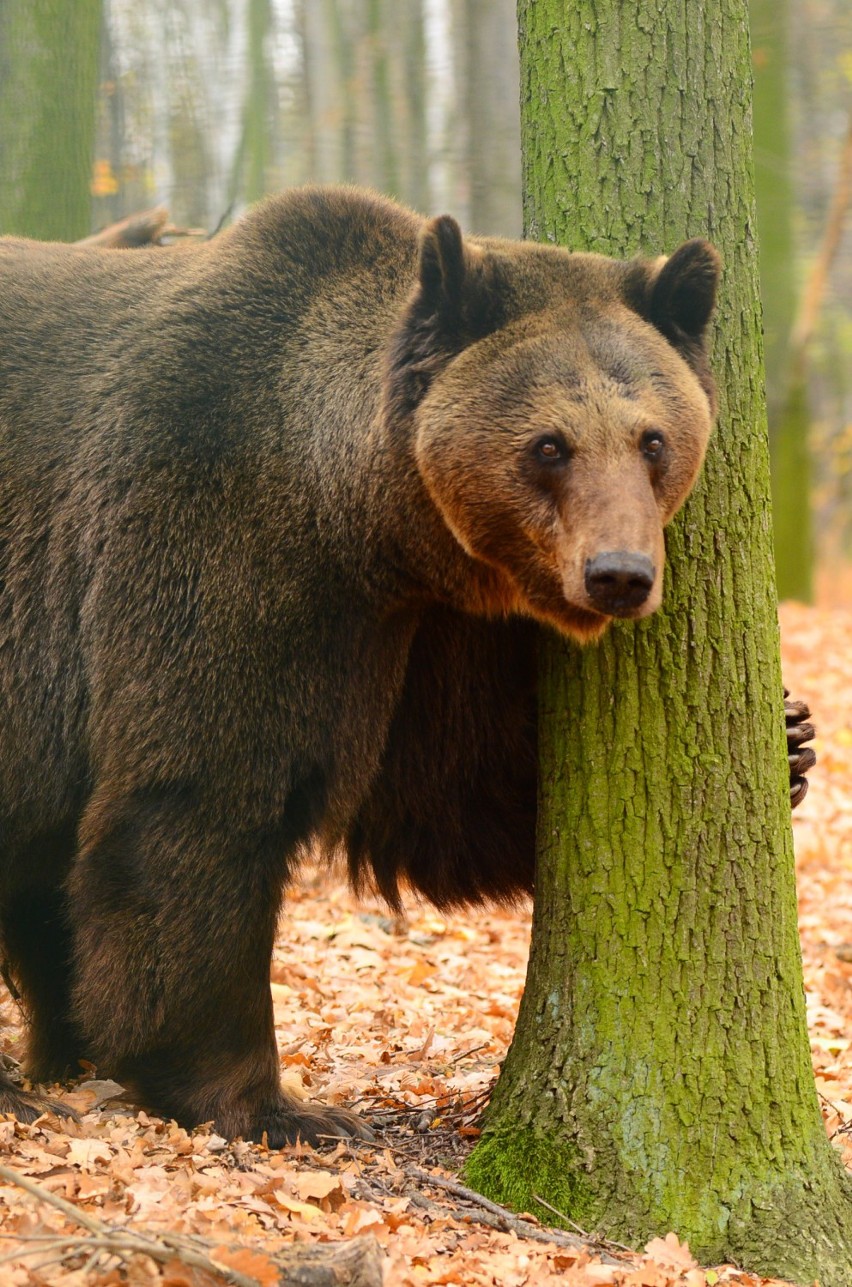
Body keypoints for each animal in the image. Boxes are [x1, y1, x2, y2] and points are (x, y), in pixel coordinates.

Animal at [0, 184, 813, 1148]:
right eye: (549, 444)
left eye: (652, 438)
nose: (619, 574)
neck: (360, 515)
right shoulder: (220, 548)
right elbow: (203, 801)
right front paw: (270, 1101)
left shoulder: (424, 632)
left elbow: (447, 792)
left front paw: (793, 740)